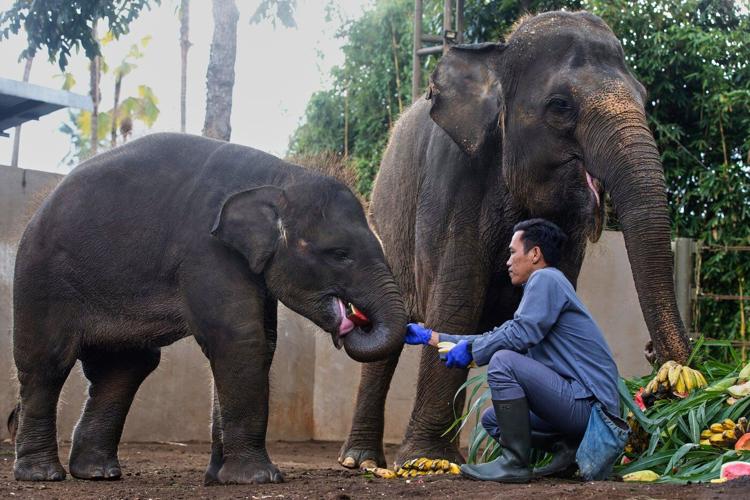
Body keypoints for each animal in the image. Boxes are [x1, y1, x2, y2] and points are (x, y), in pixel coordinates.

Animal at [10, 132, 407, 484]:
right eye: (339, 254)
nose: (352, 322)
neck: (279, 176)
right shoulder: (206, 250)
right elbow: (240, 339)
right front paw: (258, 479)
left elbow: (263, 343)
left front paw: (219, 478)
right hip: (40, 280)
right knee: (48, 363)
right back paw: (42, 475)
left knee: (125, 368)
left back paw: (97, 473)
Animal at [338, 10, 691, 469]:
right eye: (560, 106)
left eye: (645, 97)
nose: (652, 357)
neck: (496, 56)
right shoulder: (453, 179)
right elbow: (456, 305)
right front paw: (425, 460)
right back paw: (360, 461)